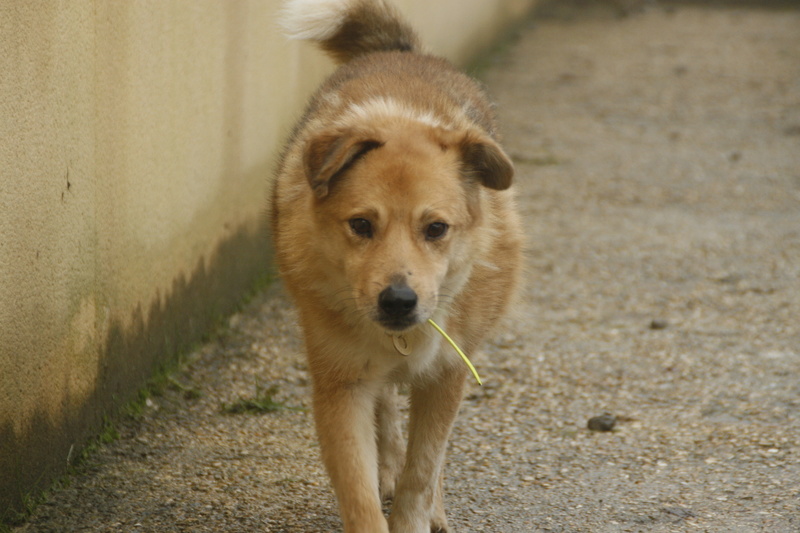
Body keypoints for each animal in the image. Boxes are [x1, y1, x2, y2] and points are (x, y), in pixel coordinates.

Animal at [272, 2, 520, 528]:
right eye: (361, 225)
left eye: (436, 228)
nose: (399, 301)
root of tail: (400, 52)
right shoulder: (341, 386)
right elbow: (359, 489)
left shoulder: (448, 375)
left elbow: (423, 470)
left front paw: (417, 515)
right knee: (386, 416)